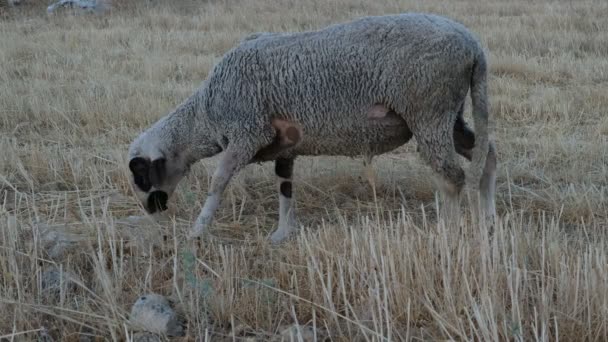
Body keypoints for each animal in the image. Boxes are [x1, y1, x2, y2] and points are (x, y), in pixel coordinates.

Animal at [126, 12, 496, 243]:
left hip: (429, 112)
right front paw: (281, 234)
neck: (204, 115)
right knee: (487, 157)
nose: (152, 210)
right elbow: (285, 186)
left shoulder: (248, 133)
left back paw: (448, 233)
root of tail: (473, 45)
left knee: (452, 177)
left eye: (141, 175)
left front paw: (197, 230)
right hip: (449, 116)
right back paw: (488, 221)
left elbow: (218, 182)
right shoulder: (285, 145)